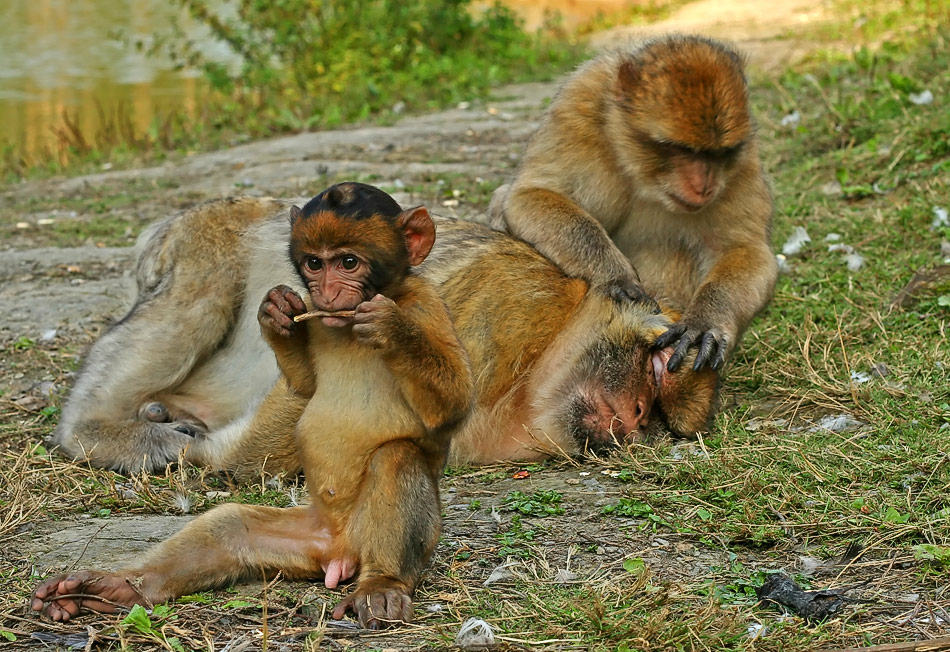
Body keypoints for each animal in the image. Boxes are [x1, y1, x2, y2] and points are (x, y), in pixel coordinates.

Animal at [32, 182, 476, 628]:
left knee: (397, 457)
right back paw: (117, 586)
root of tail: (339, 552)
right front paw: (277, 315)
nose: (326, 291)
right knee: (229, 526)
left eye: (349, 262)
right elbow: (304, 386)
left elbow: (455, 403)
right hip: (303, 539)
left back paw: (383, 583)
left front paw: (390, 328)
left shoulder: (429, 304)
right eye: (314, 263)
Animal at [48, 186, 716, 476]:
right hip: (202, 246)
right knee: (193, 304)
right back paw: (97, 433)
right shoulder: (500, 312)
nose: (636, 417)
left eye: (658, 415)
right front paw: (209, 455)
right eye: (654, 370)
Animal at [490, 34, 780, 372]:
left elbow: (744, 249)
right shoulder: (578, 105)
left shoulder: (744, 157)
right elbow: (529, 194)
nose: (704, 187)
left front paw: (706, 320)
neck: (644, 176)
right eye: (681, 150)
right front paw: (616, 276)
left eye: (718, 154)